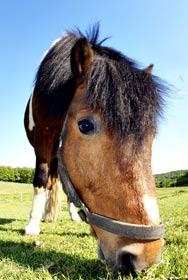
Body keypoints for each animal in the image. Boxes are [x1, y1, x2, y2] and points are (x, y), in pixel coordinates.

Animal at [23, 25, 166, 274]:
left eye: (152, 134)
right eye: (86, 125)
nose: (146, 254)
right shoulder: (41, 143)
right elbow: (41, 179)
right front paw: (32, 225)